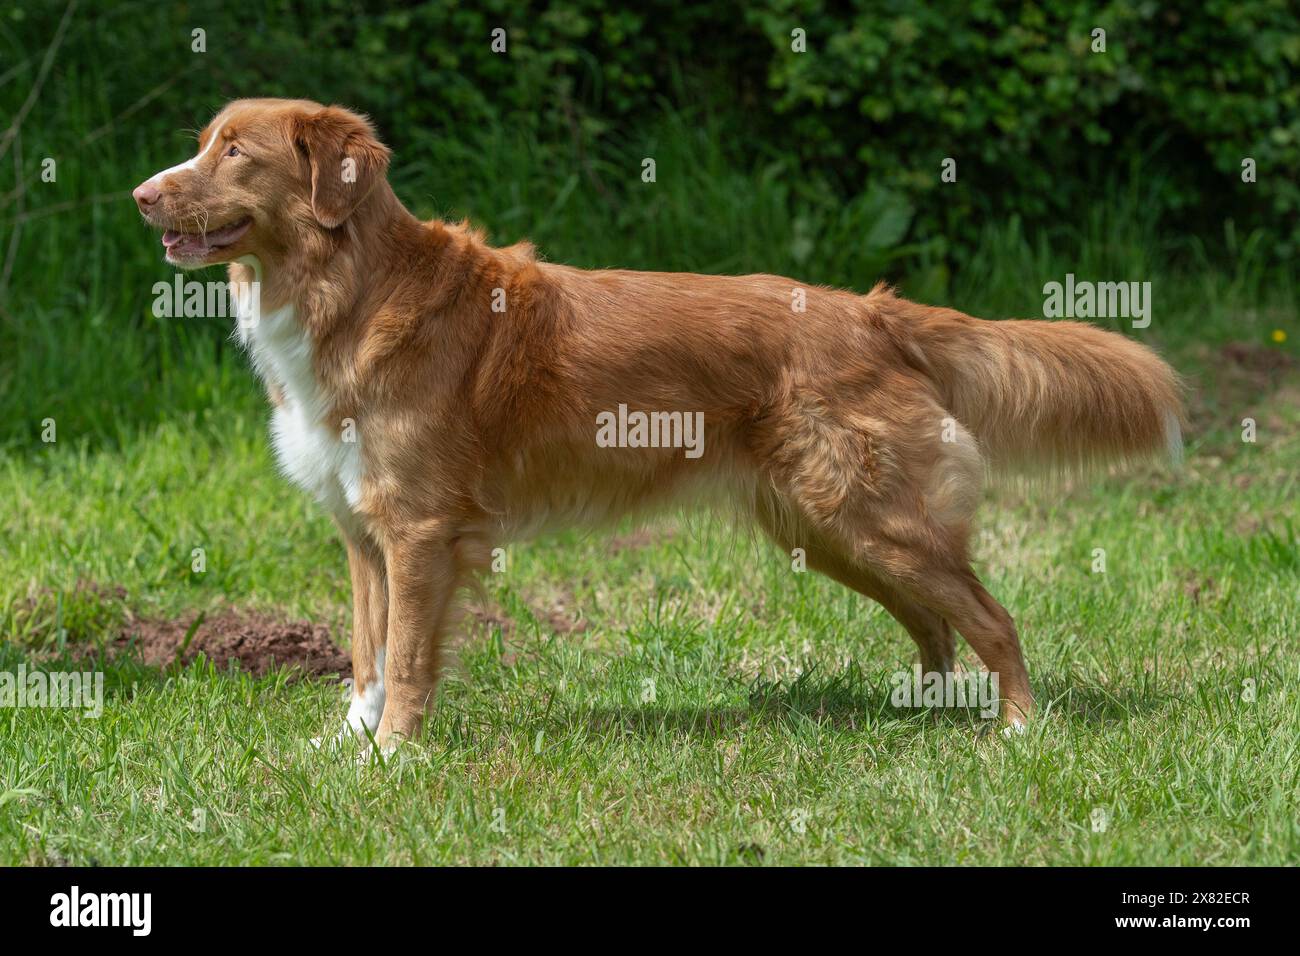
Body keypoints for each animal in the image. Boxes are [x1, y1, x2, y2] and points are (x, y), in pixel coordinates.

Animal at [137, 100, 1185, 749]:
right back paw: (924, 714)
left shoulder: (421, 530)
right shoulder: (364, 532)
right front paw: (349, 744)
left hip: (871, 519)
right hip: (829, 531)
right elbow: (367, 651)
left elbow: (407, 659)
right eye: (206, 142)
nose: (143, 195)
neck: (346, 289)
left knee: (991, 617)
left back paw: (1015, 730)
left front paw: (393, 756)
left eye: (235, 152)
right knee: (934, 623)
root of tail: (873, 309)